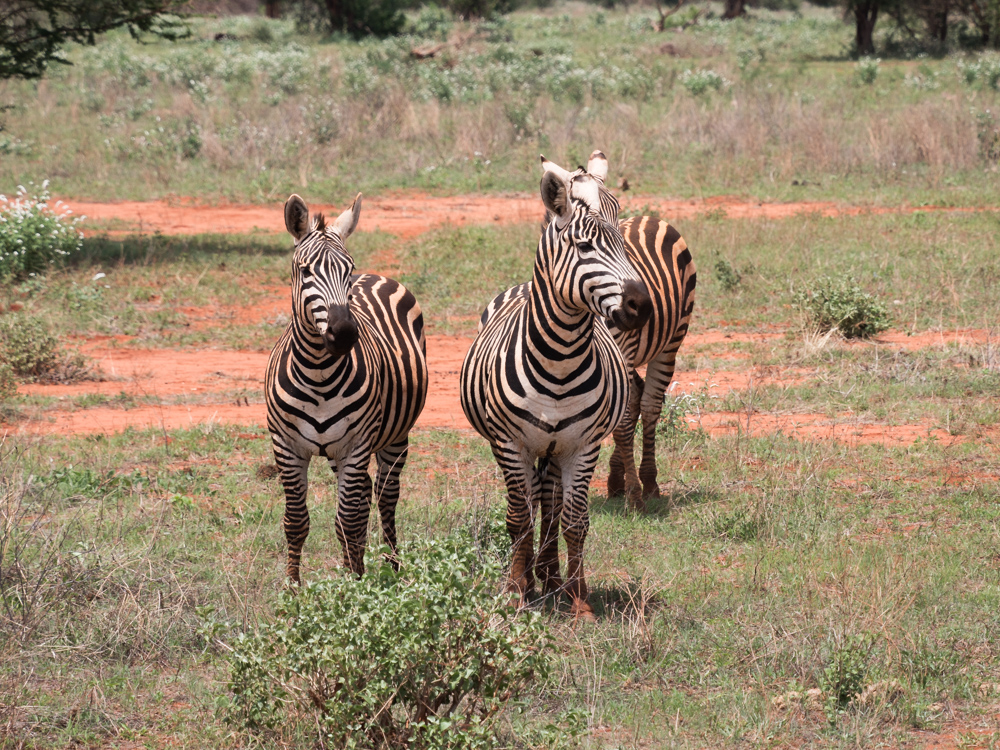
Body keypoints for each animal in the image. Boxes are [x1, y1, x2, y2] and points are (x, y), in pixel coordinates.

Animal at [266, 192, 426, 580]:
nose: (344, 333)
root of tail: (375, 276)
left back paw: (391, 565)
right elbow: (296, 521)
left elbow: (349, 521)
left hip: (394, 436)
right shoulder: (286, 446)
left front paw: (355, 584)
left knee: (385, 495)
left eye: (347, 270)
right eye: (305, 271)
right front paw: (292, 587)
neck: (318, 374)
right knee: (365, 495)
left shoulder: (356, 443)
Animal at [458, 172, 652, 624]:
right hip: (528, 447)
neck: (559, 362)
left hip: (555, 447)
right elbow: (517, 519)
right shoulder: (510, 444)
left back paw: (549, 577)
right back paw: (533, 577)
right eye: (584, 247)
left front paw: (578, 598)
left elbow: (574, 520)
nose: (642, 305)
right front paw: (515, 592)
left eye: (623, 244)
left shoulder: (583, 446)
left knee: (549, 504)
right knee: (533, 503)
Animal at [540, 151, 696, 516]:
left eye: (616, 207)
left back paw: (648, 482)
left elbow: (622, 419)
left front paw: (635, 495)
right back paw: (616, 478)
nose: (640, 302)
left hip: (671, 342)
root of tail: (650, 218)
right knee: (636, 397)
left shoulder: (621, 349)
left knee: (650, 404)